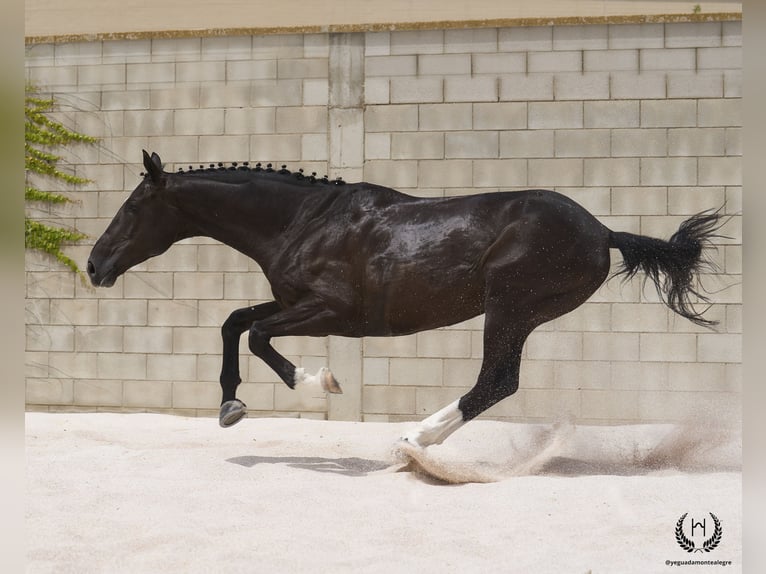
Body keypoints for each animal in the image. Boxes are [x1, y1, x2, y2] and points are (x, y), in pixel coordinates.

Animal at [87, 153, 724, 450]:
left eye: (133, 207)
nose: (95, 266)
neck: (302, 221)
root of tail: (602, 232)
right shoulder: (296, 303)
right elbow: (234, 322)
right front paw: (228, 406)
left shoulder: (334, 313)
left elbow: (258, 335)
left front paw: (318, 385)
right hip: (520, 314)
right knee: (498, 384)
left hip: (510, 309)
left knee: (496, 382)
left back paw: (416, 442)